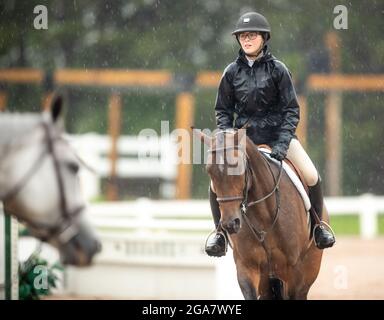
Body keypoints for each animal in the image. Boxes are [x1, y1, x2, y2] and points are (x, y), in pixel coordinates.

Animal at [195, 128, 324, 300]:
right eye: (209, 170)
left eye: (238, 167)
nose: (230, 223)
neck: (264, 217)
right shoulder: (247, 267)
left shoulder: (294, 271)